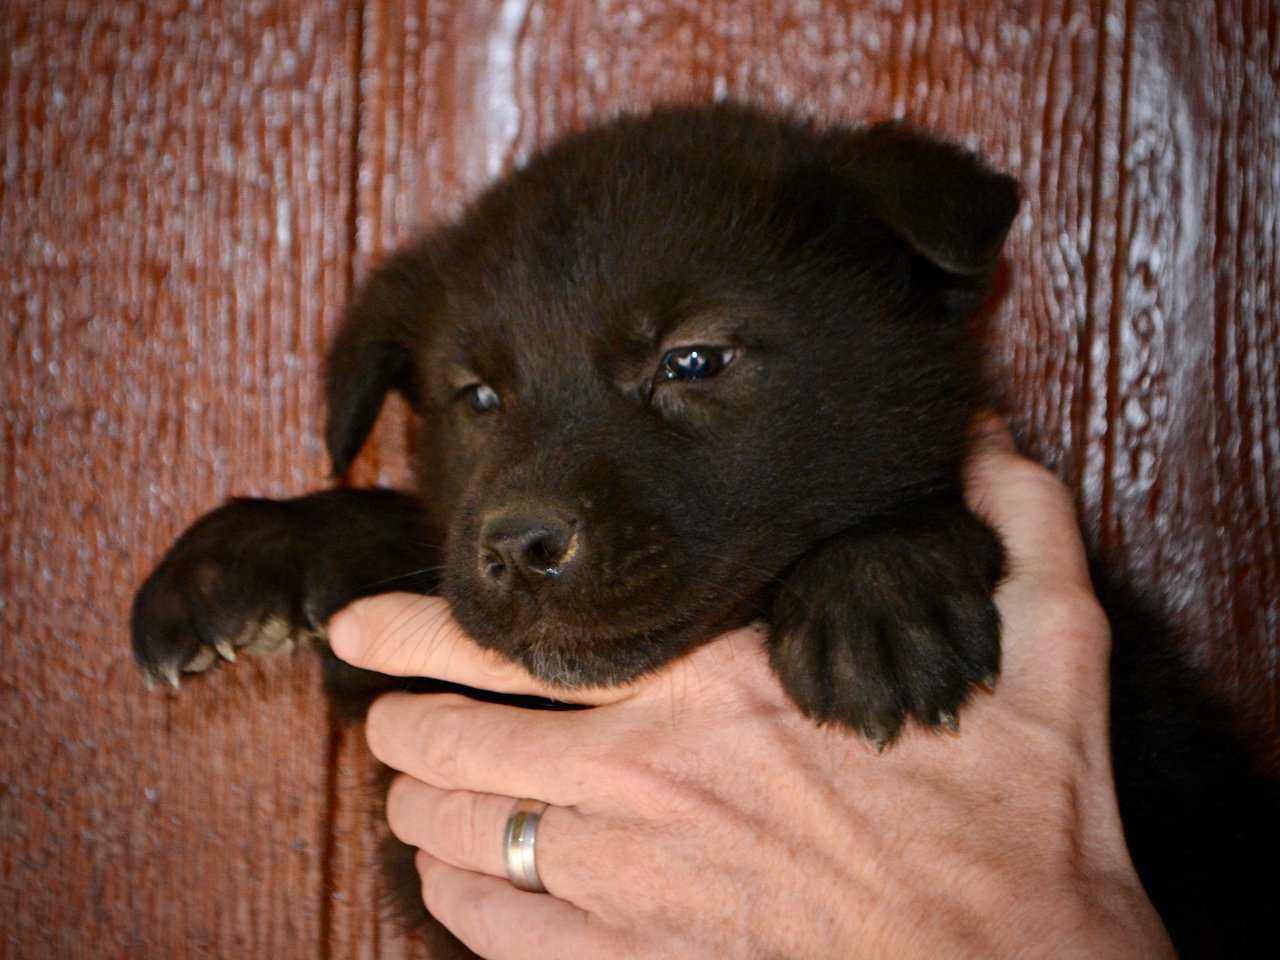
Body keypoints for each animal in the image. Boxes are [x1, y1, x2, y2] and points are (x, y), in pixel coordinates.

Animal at [135, 101, 1274, 957]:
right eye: (478, 396)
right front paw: (241, 557)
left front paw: (876, 593)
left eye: (690, 360)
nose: (518, 548)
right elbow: (404, 540)